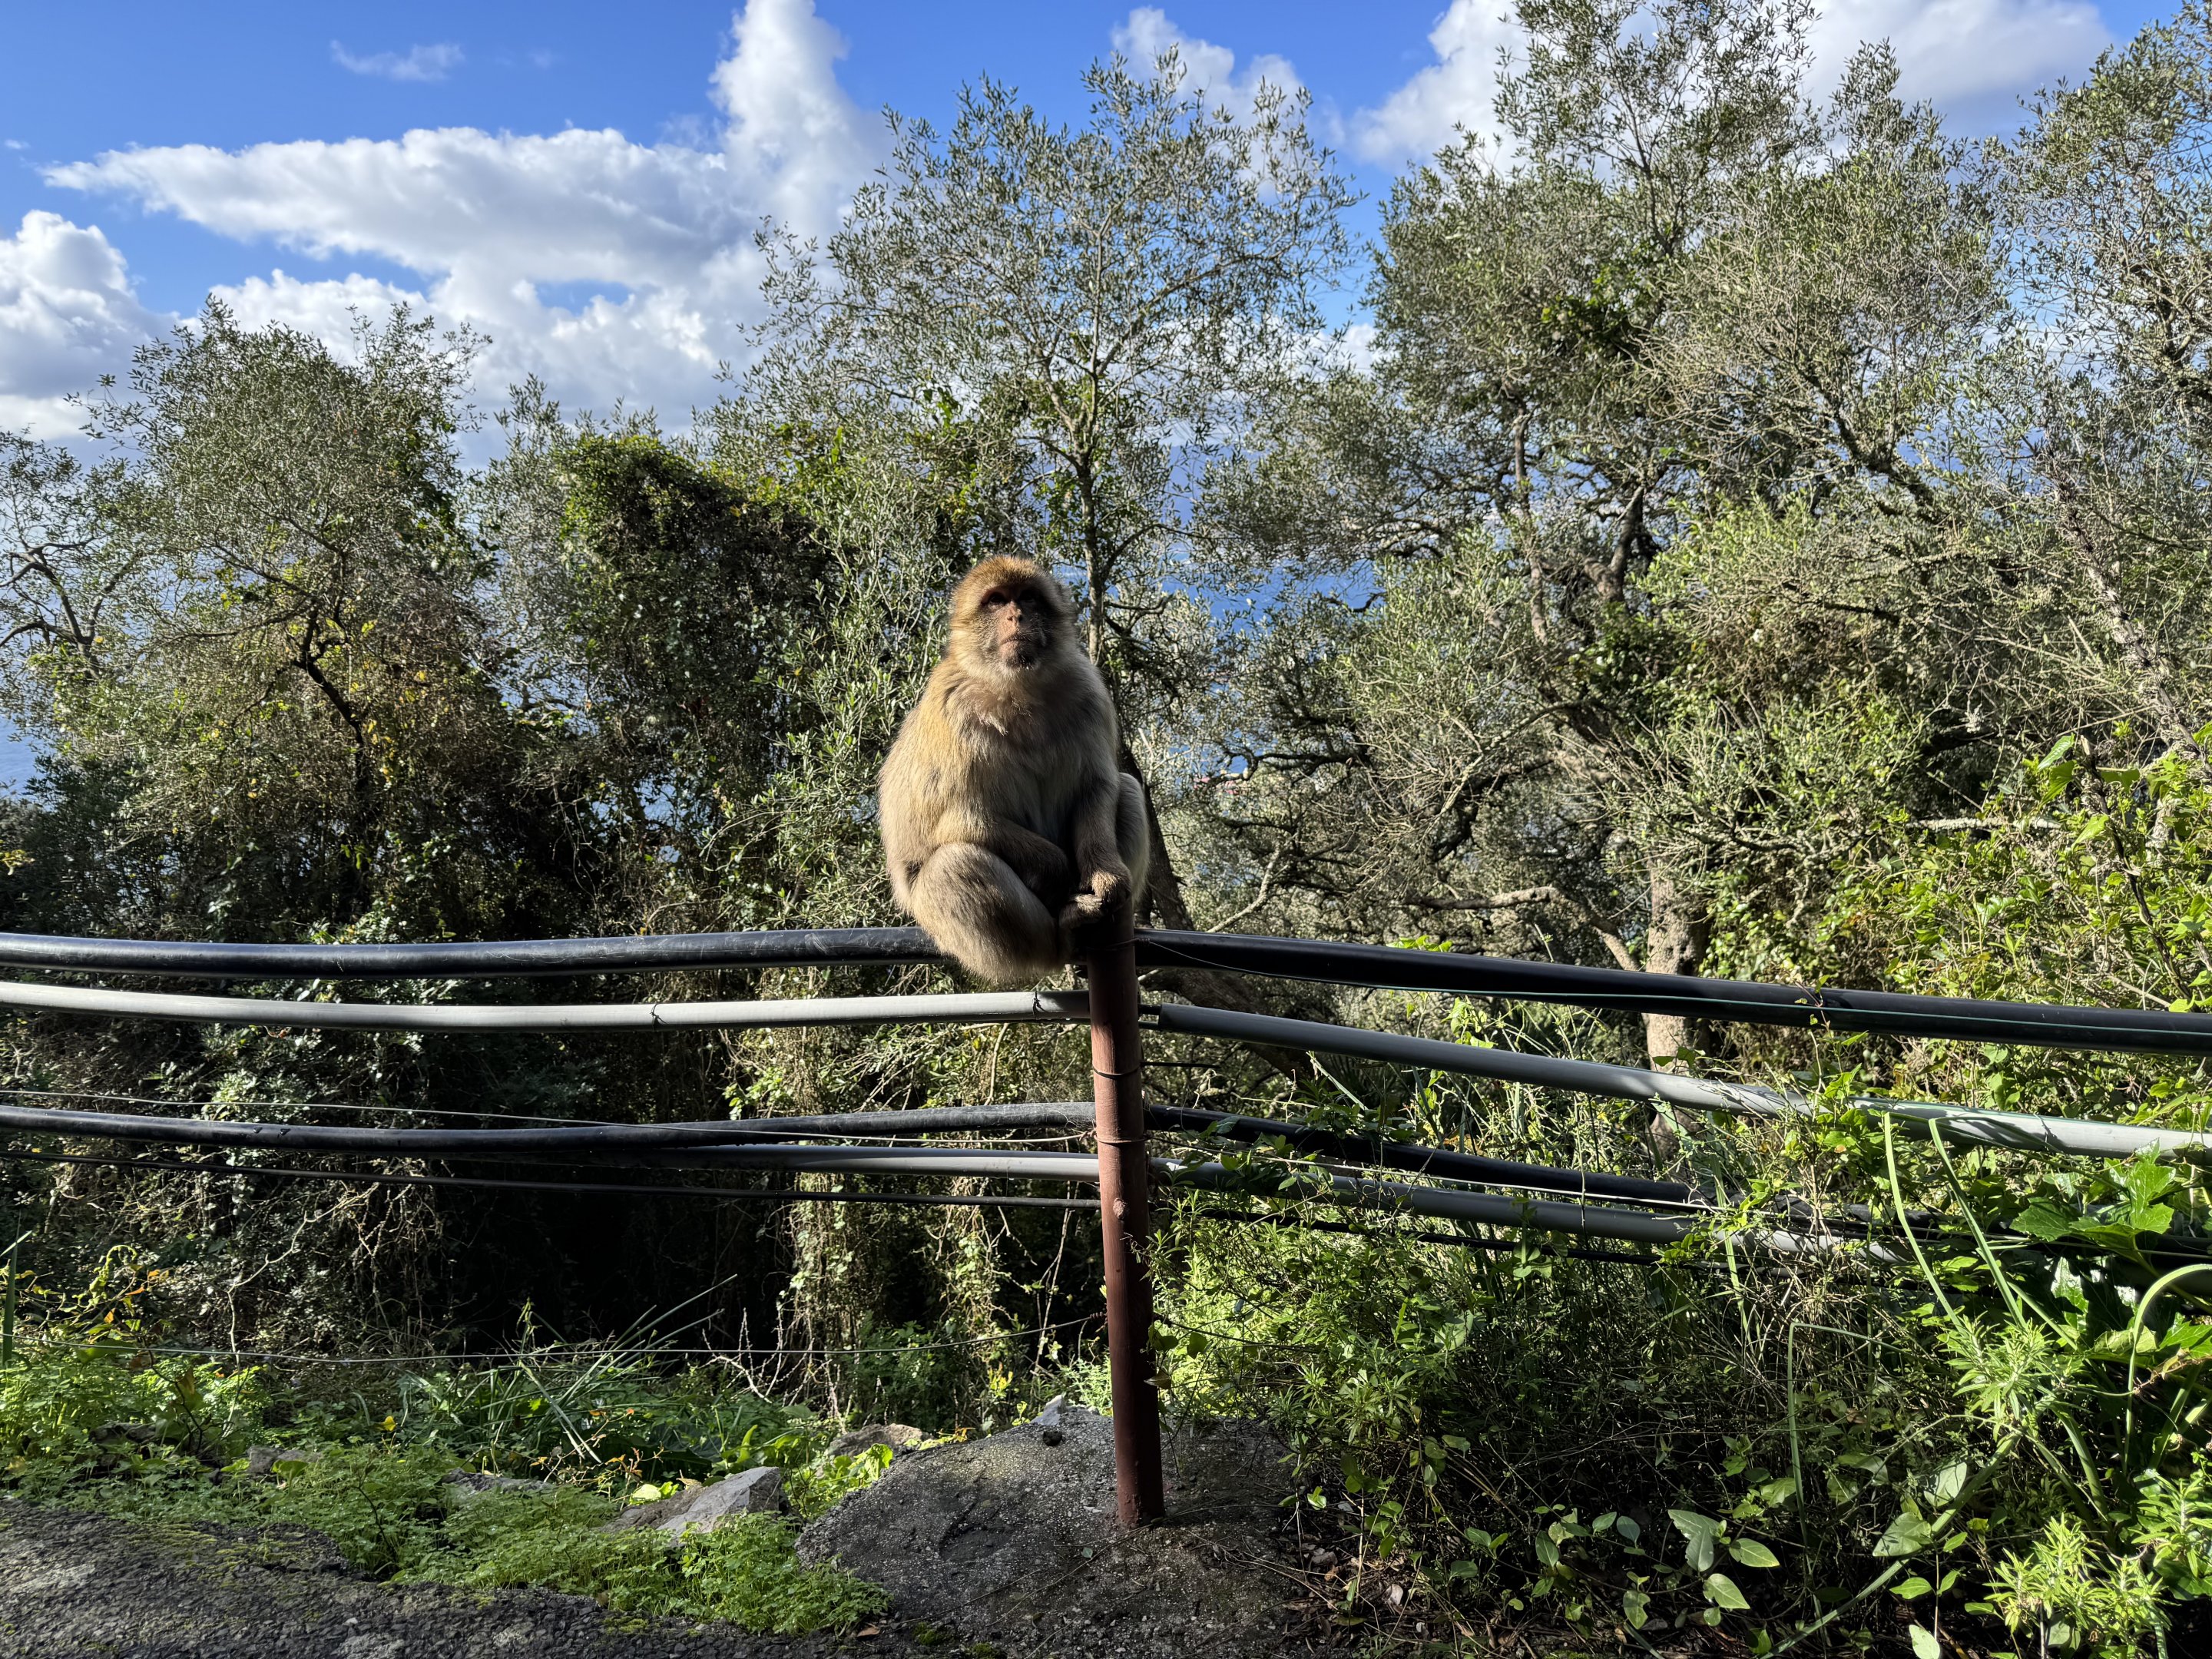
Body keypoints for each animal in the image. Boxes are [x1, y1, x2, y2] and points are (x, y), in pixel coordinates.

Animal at [879, 556, 1150, 986]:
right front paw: (1054, 866)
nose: (1016, 616)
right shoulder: (952, 711)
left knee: (1128, 788)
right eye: (995, 601)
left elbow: (1098, 785)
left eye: (1028, 598)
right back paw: (1066, 929)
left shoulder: (1088, 691)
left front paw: (1106, 875)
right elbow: (957, 819)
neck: (1018, 687)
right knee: (954, 866)